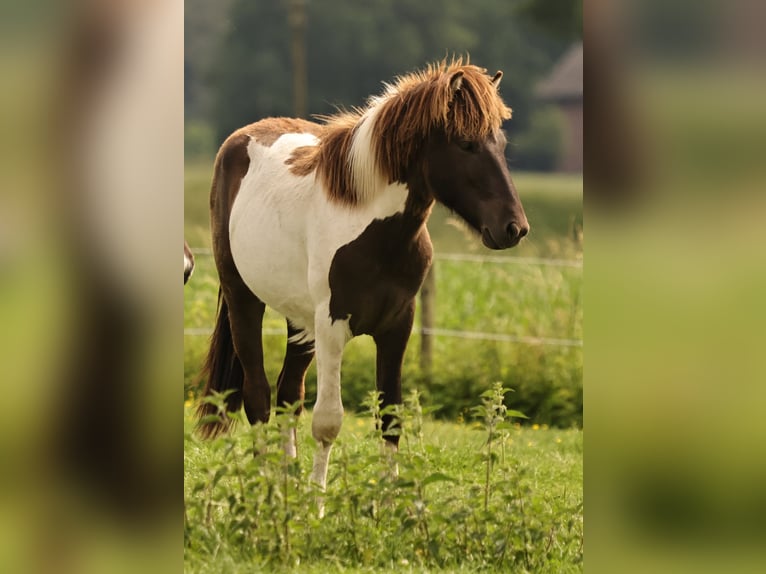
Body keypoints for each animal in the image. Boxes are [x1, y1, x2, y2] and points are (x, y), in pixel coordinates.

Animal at [197, 59, 529, 496]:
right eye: (466, 143)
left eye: (501, 145)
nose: (514, 228)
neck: (372, 228)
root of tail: (236, 141)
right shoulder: (332, 324)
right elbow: (327, 421)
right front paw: (319, 501)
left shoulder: (397, 326)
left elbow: (390, 418)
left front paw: (387, 503)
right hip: (244, 301)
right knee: (258, 396)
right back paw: (269, 489)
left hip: (299, 320)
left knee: (287, 395)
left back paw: (286, 483)